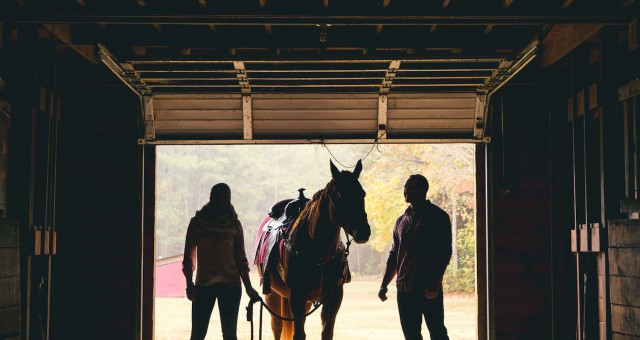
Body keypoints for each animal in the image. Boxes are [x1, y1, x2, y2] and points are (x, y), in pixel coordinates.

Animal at [251, 160, 370, 340]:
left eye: (362, 193)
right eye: (340, 194)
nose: (363, 231)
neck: (320, 255)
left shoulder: (334, 296)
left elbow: (327, 332)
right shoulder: (297, 297)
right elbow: (299, 334)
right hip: (273, 295)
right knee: (277, 326)